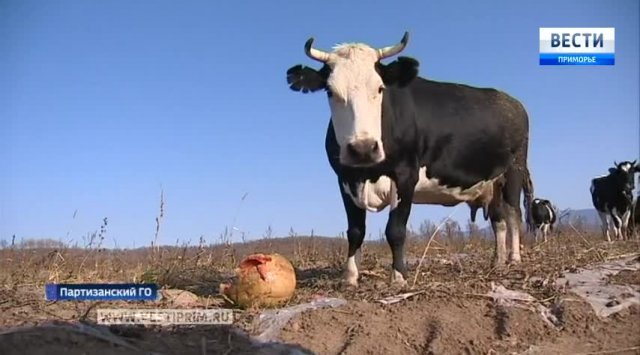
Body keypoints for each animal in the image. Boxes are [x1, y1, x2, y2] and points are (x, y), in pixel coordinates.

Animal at [286, 32, 536, 290]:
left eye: (380, 88)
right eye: (330, 91)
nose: (363, 149)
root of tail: (511, 101)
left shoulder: (406, 174)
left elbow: (395, 230)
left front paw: (398, 276)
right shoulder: (345, 178)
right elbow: (355, 230)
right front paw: (351, 276)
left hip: (514, 170)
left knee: (513, 213)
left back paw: (514, 258)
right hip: (491, 182)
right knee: (499, 220)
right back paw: (497, 261)